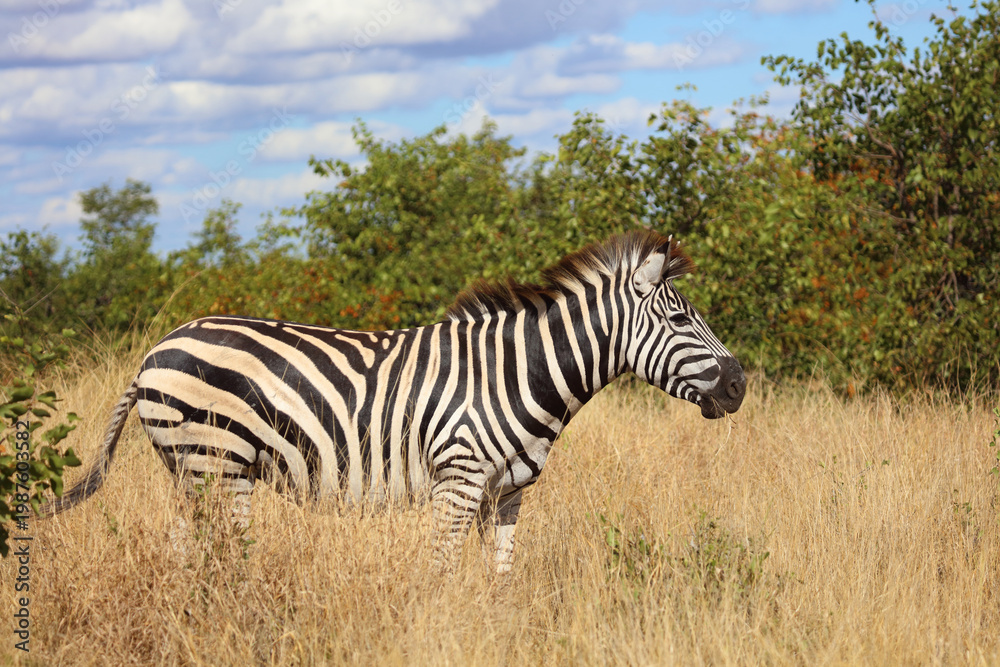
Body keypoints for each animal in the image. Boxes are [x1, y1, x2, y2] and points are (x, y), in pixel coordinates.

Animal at [43, 230, 745, 572]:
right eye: (680, 319)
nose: (739, 384)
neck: (521, 373)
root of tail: (154, 349)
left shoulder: (507, 492)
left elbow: (499, 577)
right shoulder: (458, 481)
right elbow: (438, 570)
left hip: (191, 473)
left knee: (186, 555)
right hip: (215, 467)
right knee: (220, 557)